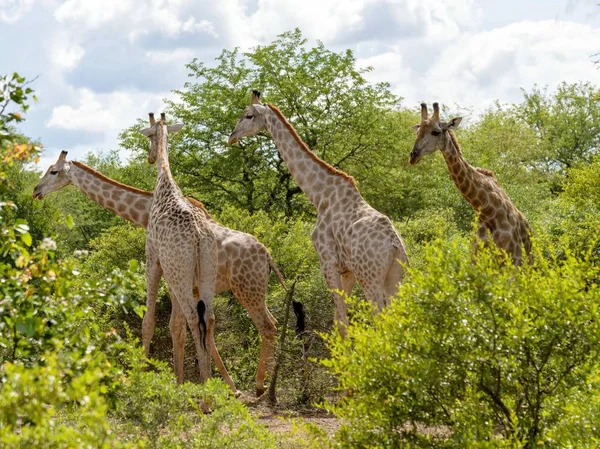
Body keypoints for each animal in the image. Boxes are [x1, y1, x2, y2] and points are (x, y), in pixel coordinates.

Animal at [32, 151, 284, 396]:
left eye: (53, 171)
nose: (36, 190)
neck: (145, 212)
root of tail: (268, 256)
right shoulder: (191, 288)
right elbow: (199, 332)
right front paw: (226, 386)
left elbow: (178, 327)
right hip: (255, 291)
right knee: (272, 322)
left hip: (246, 289)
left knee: (267, 327)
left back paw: (261, 386)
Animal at [227, 89, 410, 332]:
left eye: (248, 115)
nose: (231, 136)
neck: (320, 195)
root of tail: (394, 245)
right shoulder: (348, 269)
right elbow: (339, 317)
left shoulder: (327, 259)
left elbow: (341, 320)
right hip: (396, 278)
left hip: (370, 277)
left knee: (379, 319)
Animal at [410, 103, 532, 264]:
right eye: (418, 131)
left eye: (436, 132)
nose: (413, 156)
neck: (488, 212)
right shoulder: (476, 259)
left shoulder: (514, 258)